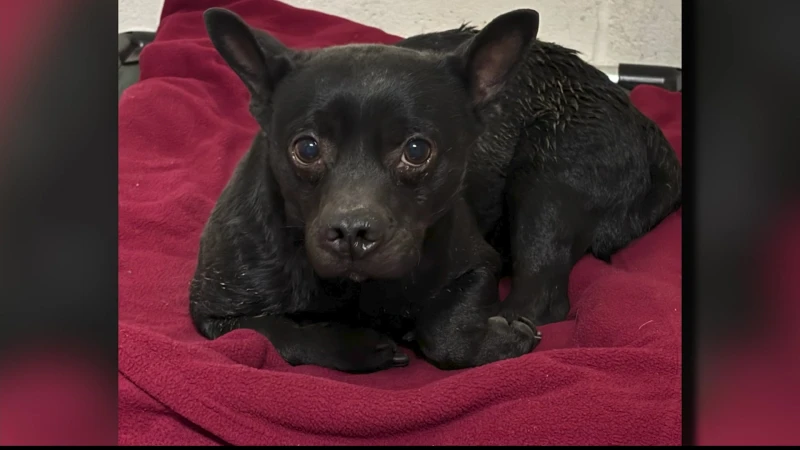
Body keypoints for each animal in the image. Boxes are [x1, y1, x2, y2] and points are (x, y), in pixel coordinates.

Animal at [188, 7, 680, 372]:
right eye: (306, 148)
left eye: (417, 150)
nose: (352, 232)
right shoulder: (213, 313)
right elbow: (271, 331)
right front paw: (354, 344)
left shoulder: (478, 266)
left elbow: (443, 333)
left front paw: (491, 338)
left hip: (548, 183)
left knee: (542, 294)